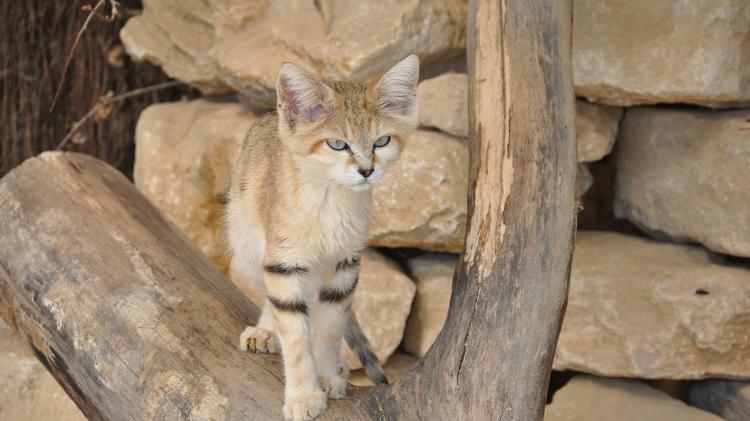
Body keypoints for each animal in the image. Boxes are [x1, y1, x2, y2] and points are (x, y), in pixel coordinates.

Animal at [226, 55, 420, 420]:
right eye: (337, 144)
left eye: (382, 142)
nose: (367, 170)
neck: (331, 199)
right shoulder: (284, 263)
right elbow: (296, 337)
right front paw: (304, 395)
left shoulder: (345, 266)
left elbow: (330, 328)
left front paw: (328, 375)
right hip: (246, 244)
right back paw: (266, 330)